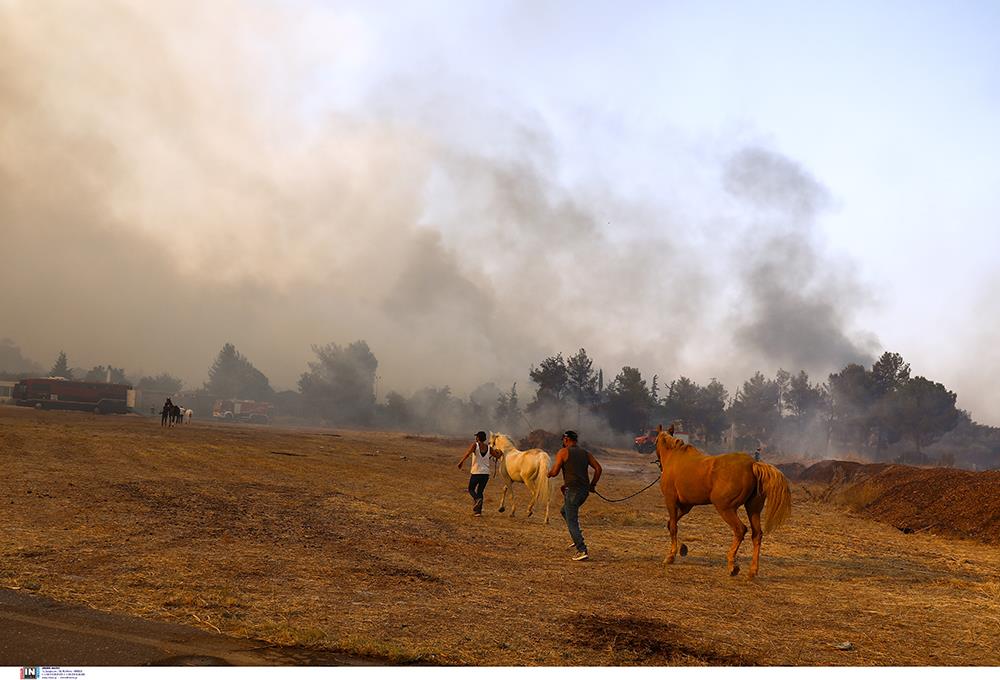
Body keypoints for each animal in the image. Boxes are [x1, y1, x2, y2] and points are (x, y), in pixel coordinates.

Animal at [656, 424, 788, 580]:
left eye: (655, 440)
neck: (674, 457)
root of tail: (752, 464)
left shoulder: (670, 500)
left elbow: (673, 527)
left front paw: (671, 556)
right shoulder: (686, 506)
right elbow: (671, 523)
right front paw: (682, 549)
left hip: (725, 508)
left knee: (740, 530)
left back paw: (732, 565)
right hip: (753, 509)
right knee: (757, 535)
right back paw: (752, 571)